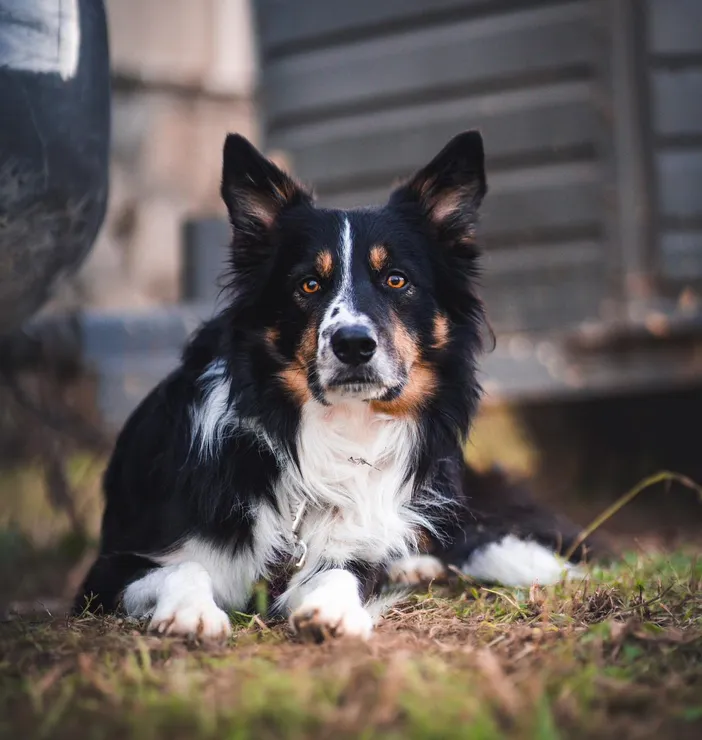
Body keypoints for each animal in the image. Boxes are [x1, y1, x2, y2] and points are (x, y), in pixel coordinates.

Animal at [75, 132, 592, 640]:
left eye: (396, 280)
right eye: (308, 284)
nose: (353, 344)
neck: (336, 430)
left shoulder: (350, 549)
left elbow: (345, 572)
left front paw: (334, 610)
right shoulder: (108, 570)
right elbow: (184, 567)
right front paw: (191, 613)